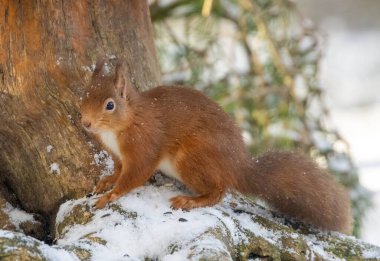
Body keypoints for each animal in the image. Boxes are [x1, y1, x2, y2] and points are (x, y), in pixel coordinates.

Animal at [81, 61, 354, 234]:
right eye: (84, 95)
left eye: (109, 105)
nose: (85, 123)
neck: (125, 122)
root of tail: (238, 167)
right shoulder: (117, 154)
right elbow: (119, 170)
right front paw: (107, 181)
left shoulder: (144, 144)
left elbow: (135, 175)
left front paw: (111, 195)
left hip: (192, 159)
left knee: (219, 191)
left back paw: (191, 201)